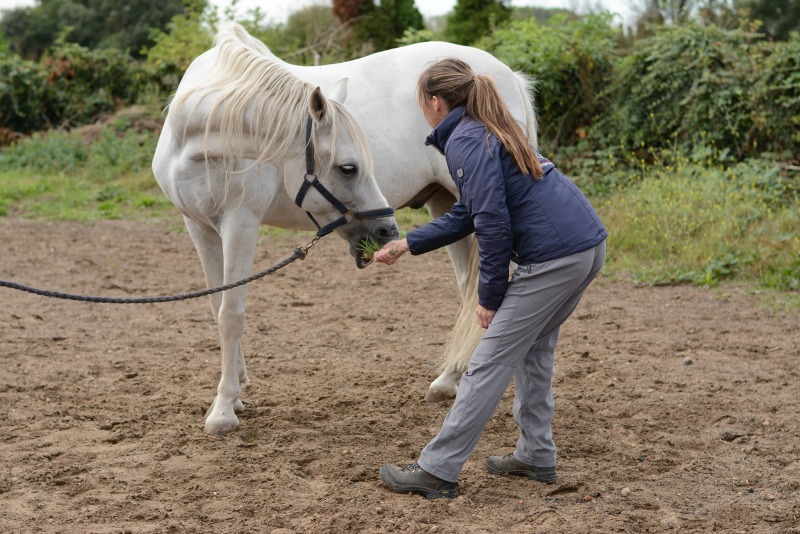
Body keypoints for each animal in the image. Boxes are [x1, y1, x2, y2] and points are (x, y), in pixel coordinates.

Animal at [152, 23, 536, 438]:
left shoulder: (241, 223)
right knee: (471, 287)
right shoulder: (199, 227)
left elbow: (232, 314)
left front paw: (223, 410)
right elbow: (216, 305)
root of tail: (507, 77)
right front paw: (236, 389)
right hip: (447, 204)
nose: (386, 231)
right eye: (349, 167)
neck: (196, 139)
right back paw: (449, 380)